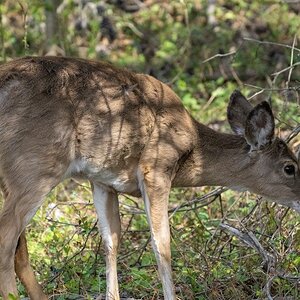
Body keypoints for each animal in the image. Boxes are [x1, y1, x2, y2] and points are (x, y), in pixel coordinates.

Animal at [0, 56, 298, 300]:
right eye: (290, 167)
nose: (299, 200)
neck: (192, 148)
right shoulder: (155, 169)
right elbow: (162, 244)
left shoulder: (102, 180)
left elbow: (111, 241)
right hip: (35, 166)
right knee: (7, 239)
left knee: (17, 248)